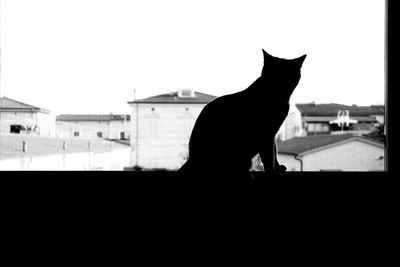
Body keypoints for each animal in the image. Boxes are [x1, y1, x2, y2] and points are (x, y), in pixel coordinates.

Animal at [177, 50, 304, 183]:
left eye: (288, 75)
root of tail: (190, 160)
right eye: (274, 72)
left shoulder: (272, 133)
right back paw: (247, 176)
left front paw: (278, 168)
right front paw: (273, 174)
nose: (280, 82)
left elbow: (274, 152)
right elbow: (269, 157)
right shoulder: (266, 134)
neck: (276, 96)